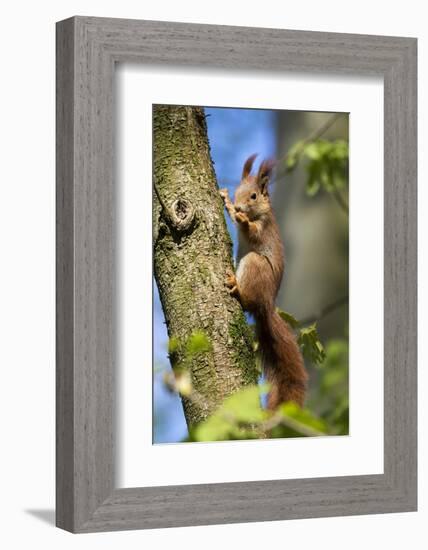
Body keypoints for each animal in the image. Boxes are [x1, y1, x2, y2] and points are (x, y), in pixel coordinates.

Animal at [221, 153, 308, 408]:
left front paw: (241, 218)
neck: (258, 213)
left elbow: (252, 230)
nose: (239, 206)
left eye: (254, 196)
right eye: (238, 191)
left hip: (254, 264)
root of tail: (267, 304)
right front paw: (227, 201)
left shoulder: (264, 227)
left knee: (247, 299)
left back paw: (236, 286)